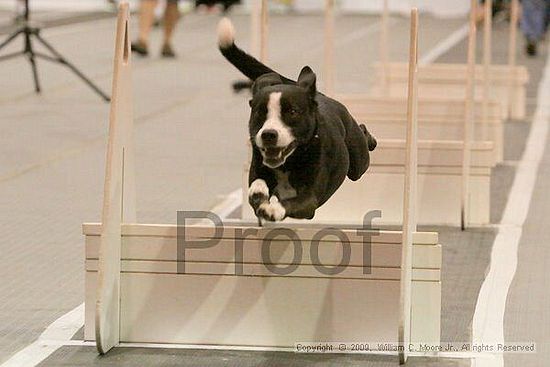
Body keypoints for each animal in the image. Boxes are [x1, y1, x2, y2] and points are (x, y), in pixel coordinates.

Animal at [218, 18, 378, 223]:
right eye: (260, 112)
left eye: (293, 112)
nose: (269, 134)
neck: (289, 162)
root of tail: (316, 94)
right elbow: (257, 189)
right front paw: (260, 193)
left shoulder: (310, 201)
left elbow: (294, 202)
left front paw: (273, 209)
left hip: (357, 161)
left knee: (362, 140)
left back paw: (371, 140)